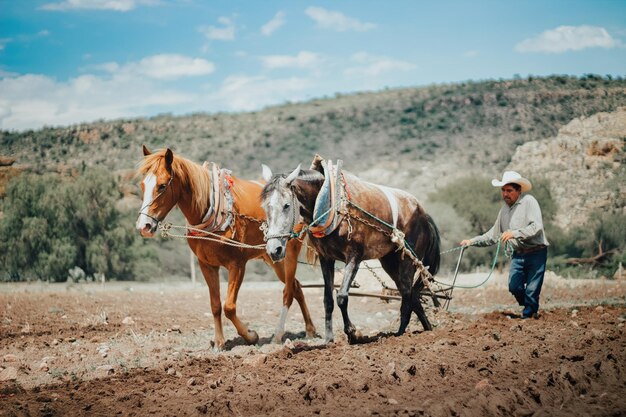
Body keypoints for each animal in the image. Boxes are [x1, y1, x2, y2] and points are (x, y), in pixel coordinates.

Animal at [135, 146, 314, 348]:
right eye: (142, 185)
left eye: (162, 186)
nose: (143, 226)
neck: (214, 212)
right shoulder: (207, 265)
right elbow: (215, 305)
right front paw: (219, 342)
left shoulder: (237, 265)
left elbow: (229, 307)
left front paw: (251, 336)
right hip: (273, 257)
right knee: (297, 287)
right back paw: (310, 329)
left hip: (289, 253)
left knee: (290, 290)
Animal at [260, 161, 442, 342]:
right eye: (265, 207)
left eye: (286, 205)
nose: (274, 249)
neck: (330, 202)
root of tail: (424, 214)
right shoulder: (326, 258)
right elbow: (328, 299)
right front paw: (329, 339)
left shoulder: (354, 257)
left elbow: (341, 296)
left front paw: (352, 332)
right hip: (389, 262)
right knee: (411, 295)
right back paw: (427, 329)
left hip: (407, 260)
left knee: (407, 293)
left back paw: (400, 334)